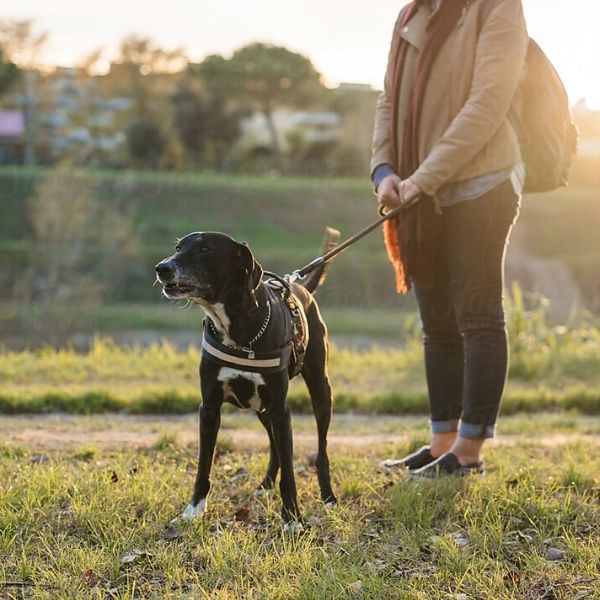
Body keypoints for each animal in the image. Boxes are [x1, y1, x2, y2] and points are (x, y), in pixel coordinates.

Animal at [155, 231, 340, 528]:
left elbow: (290, 472)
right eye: (178, 247)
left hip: (320, 390)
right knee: (274, 444)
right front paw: (193, 512)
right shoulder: (209, 408)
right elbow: (203, 465)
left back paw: (328, 496)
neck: (238, 330)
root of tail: (301, 288)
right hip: (260, 407)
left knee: (321, 448)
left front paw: (292, 519)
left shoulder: (281, 409)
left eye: (205, 249)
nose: (162, 268)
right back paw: (265, 484)